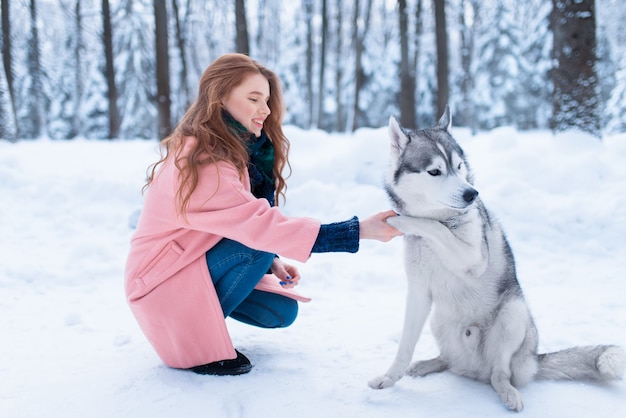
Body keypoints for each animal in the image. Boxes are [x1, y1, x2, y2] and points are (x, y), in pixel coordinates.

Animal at [368, 107, 620, 412]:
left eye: (459, 166)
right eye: (435, 171)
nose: (471, 194)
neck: (442, 219)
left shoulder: (472, 257)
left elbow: (433, 226)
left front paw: (402, 220)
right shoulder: (418, 293)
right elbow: (404, 347)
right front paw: (389, 378)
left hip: (514, 313)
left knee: (499, 373)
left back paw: (507, 391)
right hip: (438, 320)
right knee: (450, 361)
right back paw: (430, 364)